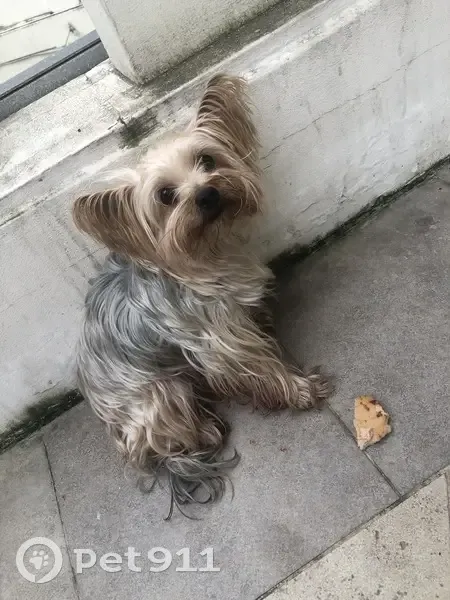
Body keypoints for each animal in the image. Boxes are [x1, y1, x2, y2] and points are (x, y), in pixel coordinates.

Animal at [72, 74, 330, 517]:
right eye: (164, 195)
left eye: (207, 161)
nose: (207, 194)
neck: (209, 251)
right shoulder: (218, 337)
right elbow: (257, 365)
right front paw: (297, 390)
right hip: (159, 391)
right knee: (162, 440)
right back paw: (204, 431)